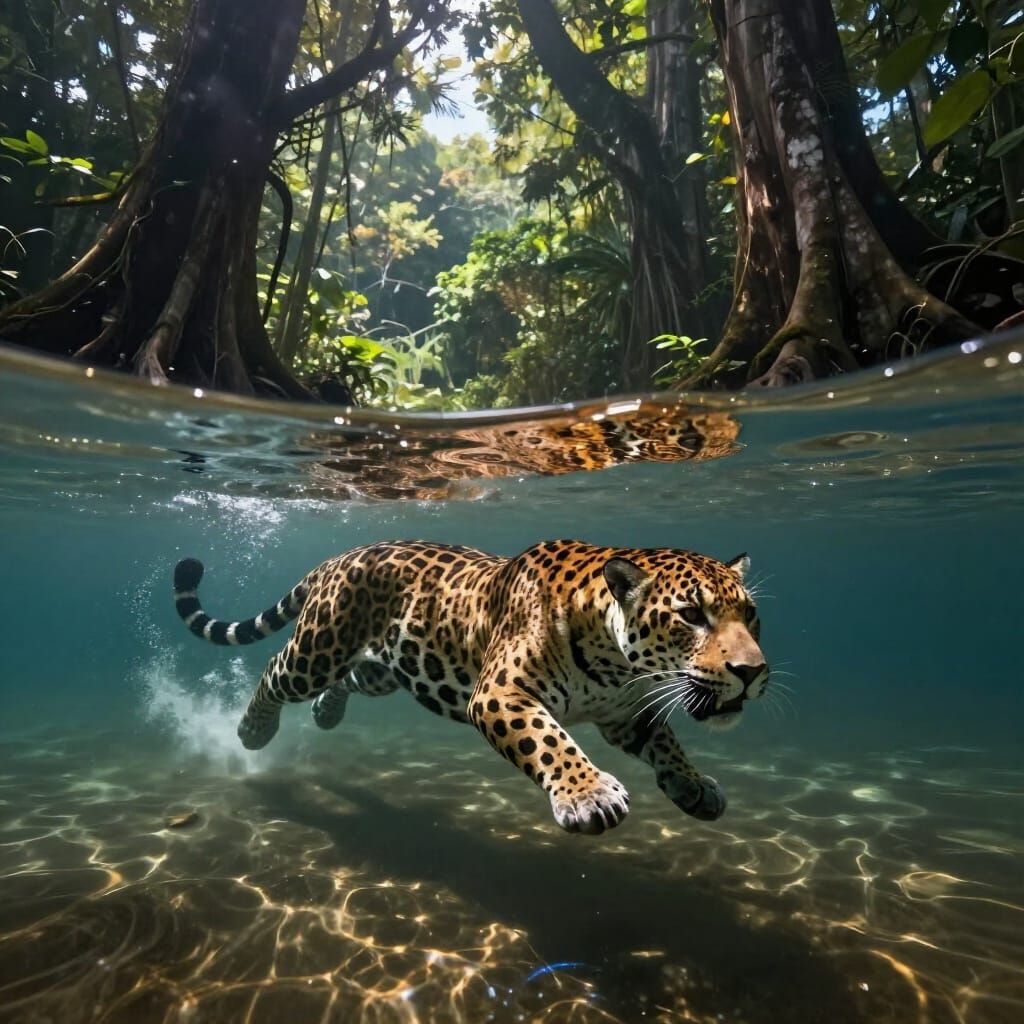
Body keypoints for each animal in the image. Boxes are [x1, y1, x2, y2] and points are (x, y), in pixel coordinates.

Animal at [173, 539, 769, 835]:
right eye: (691, 615)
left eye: (750, 615)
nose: (753, 671)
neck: (617, 663)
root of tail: (337, 557)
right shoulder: (501, 694)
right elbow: (551, 741)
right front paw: (588, 794)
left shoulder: (627, 714)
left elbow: (667, 743)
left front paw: (695, 786)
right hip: (320, 646)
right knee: (277, 669)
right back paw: (251, 731)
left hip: (394, 664)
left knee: (352, 679)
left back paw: (326, 713)